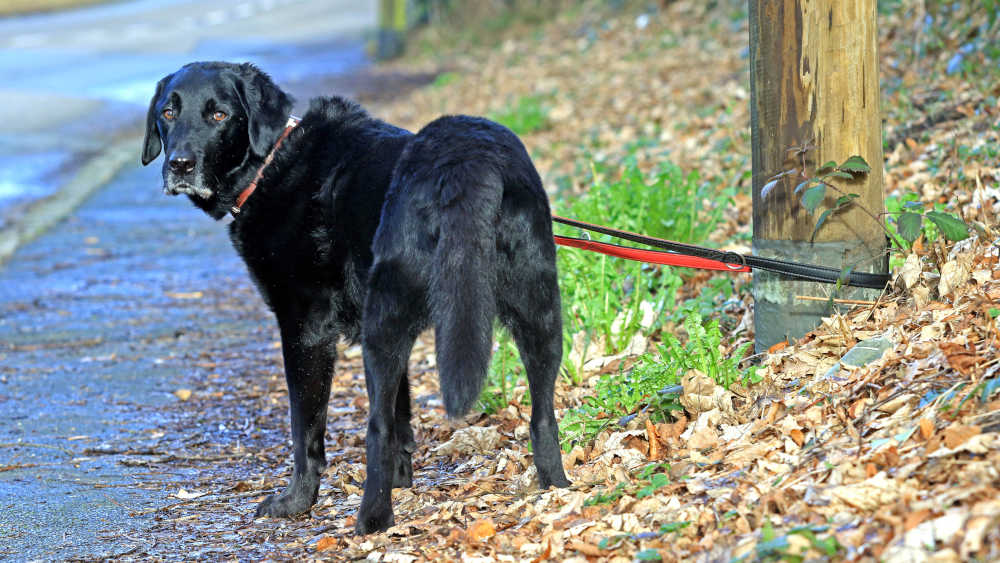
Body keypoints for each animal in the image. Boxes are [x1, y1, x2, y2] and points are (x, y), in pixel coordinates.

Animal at [145, 62, 576, 532]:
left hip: (383, 324)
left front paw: (297, 500)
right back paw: (556, 486)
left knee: (375, 428)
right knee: (542, 414)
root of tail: (466, 160)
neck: (273, 160)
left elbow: (306, 429)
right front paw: (403, 479)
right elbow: (403, 414)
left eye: (219, 115)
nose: (179, 164)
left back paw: (372, 517)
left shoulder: (305, 329)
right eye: (168, 113)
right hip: (538, 309)